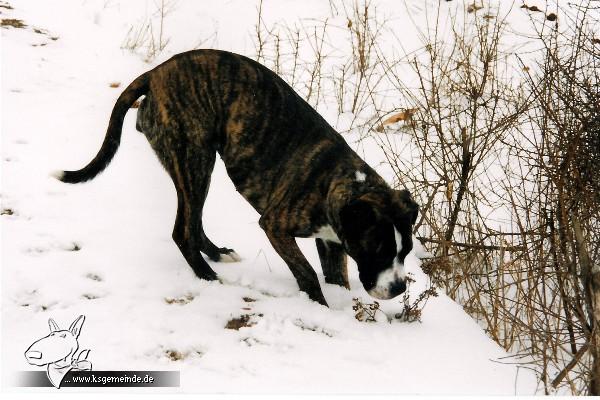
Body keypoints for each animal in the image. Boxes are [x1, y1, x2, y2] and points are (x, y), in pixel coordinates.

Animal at [57, 50, 422, 306]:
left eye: (405, 251)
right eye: (377, 249)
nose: (398, 288)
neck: (344, 181)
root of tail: (156, 72)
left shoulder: (331, 241)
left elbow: (336, 277)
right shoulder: (276, 226)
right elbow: (306, 273)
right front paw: (319, 306)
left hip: (195, 165)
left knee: (193, 222)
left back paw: (217, 254)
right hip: (195, 159)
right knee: (182, 230)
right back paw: (208, 276)